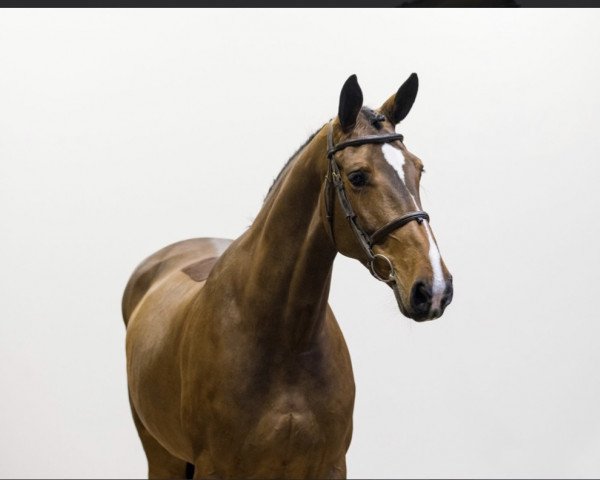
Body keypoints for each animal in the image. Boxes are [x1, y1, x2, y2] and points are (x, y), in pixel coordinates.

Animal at [123, 72, 454, 480]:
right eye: (358, 176)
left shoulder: (329, 465)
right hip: (161, 455)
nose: (433, 288)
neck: (284, 339)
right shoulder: (215, 468)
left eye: (418, 168)